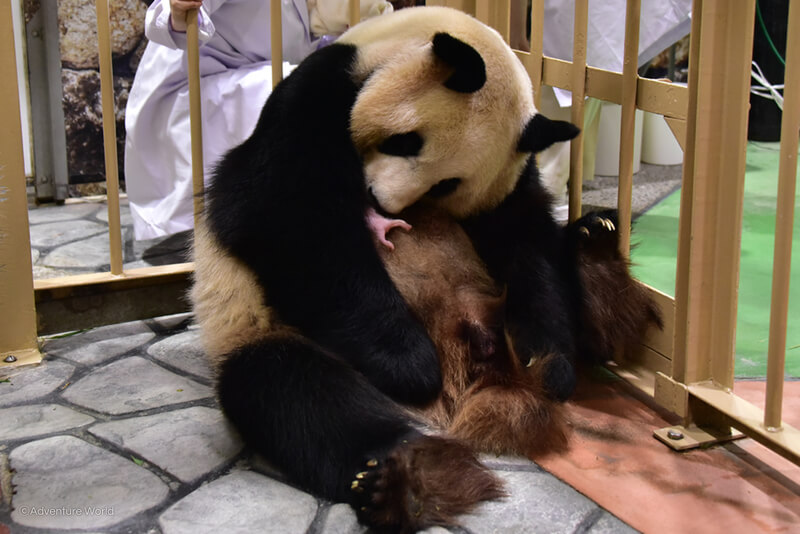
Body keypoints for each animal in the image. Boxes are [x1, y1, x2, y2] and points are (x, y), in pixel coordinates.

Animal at [191, 5, 660, 534]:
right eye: (405, 141)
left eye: (446, 185)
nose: (379, 202)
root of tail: (472, 386)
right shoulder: (314, 100)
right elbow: (279, 211)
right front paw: (409, 362)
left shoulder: (510, 179)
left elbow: (527, 240)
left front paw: (552, 364)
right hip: (265, 333)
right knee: (302, 397)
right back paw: (400, 482)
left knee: (586, 311)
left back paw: (594, 246)